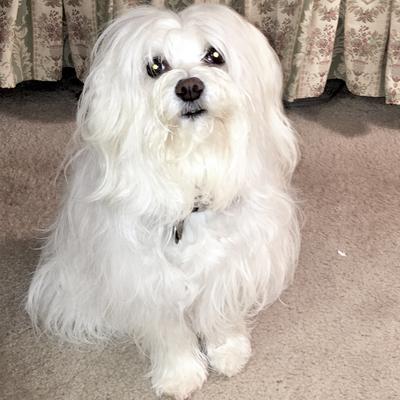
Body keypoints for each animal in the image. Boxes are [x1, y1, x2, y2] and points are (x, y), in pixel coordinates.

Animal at [25, 4, 300, 398]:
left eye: (214, 56)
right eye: (155, 66)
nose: (189, 87)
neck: (193, 167)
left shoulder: (231, 261)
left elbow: (220, 313)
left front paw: (229, 352)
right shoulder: (150, 280)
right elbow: (171, 335)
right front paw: (180, 376)